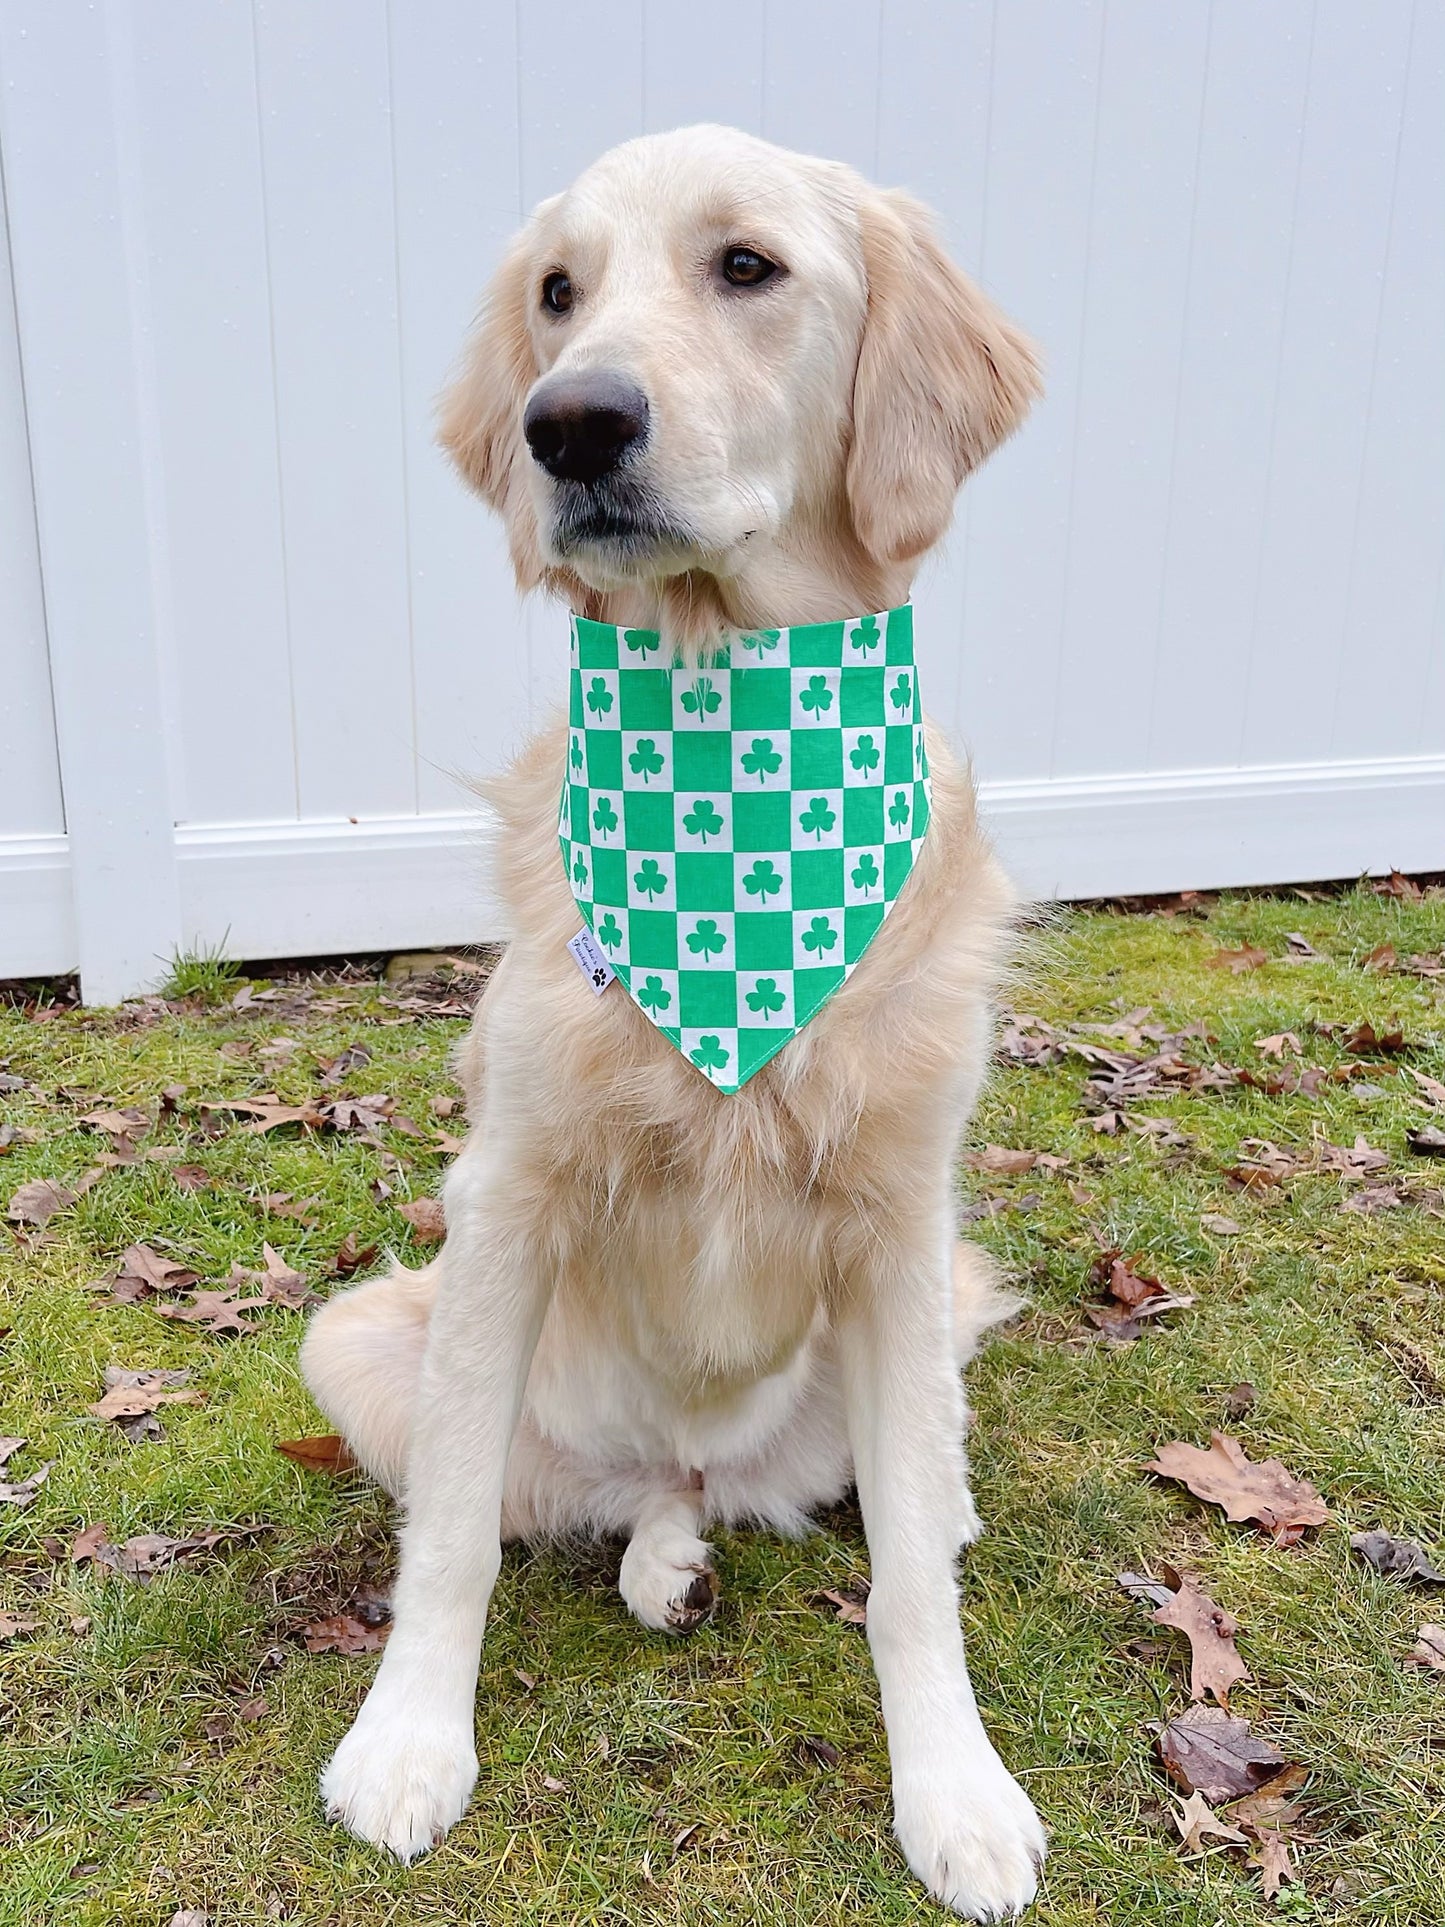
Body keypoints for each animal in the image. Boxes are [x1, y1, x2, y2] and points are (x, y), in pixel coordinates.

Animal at [306, 128, 1048, 1919]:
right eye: (556, 292)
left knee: (892, 1480)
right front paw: (407, 1742)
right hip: (362, 1336)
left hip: (924, 1308)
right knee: (603, 1492)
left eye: (747, 267)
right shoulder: (505, 1199)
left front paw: (955, 1789)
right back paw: (664, 1556)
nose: (567, 422)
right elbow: (445, 1540)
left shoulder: (899, 1216)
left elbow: (908, 1582)